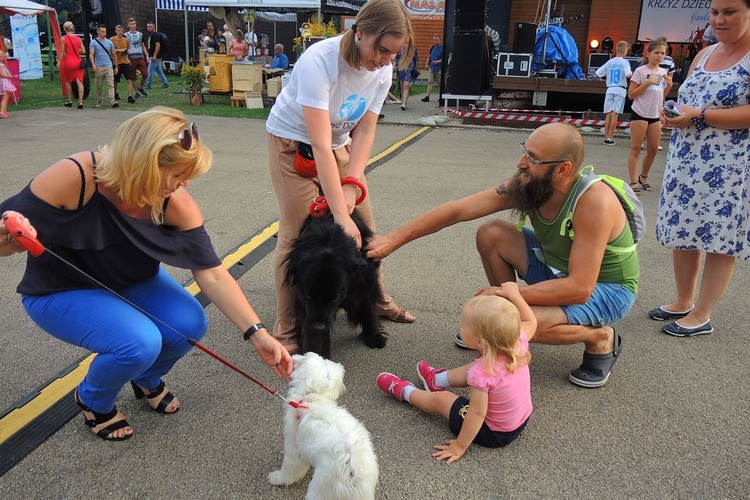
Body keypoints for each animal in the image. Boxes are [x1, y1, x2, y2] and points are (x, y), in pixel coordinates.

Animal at [268, 352, 378, 500]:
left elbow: (289, 469)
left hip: (321, 490)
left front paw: (277, 478)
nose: (343, 388)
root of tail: (352, 471)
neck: (310, 398)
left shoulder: (293, 448)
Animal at [284, 213, 388, 358]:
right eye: (309, 296)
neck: (329, 243)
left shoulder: (364, 284)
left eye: (334, 298)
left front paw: (374, 336)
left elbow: (369, 311)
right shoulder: (305, 304)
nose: (318, 326)